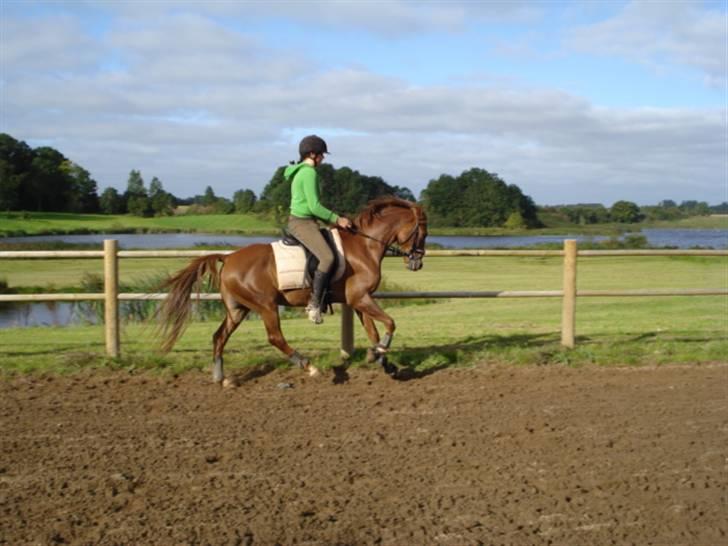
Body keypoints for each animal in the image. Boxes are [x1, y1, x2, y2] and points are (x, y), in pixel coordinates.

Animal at [156, 197, 424, 382]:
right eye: (422, 231)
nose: (418, 262)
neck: (364, 246)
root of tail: (229, 257)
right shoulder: (360, 298)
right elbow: (390, 323)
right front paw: (380, 354)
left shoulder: (358, 300)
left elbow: (374, 332)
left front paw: (382, 360)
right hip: (265, 305)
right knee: (275, 337)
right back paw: (309, 366)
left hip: (238, 309)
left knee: (219, 336)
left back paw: (221, 379)